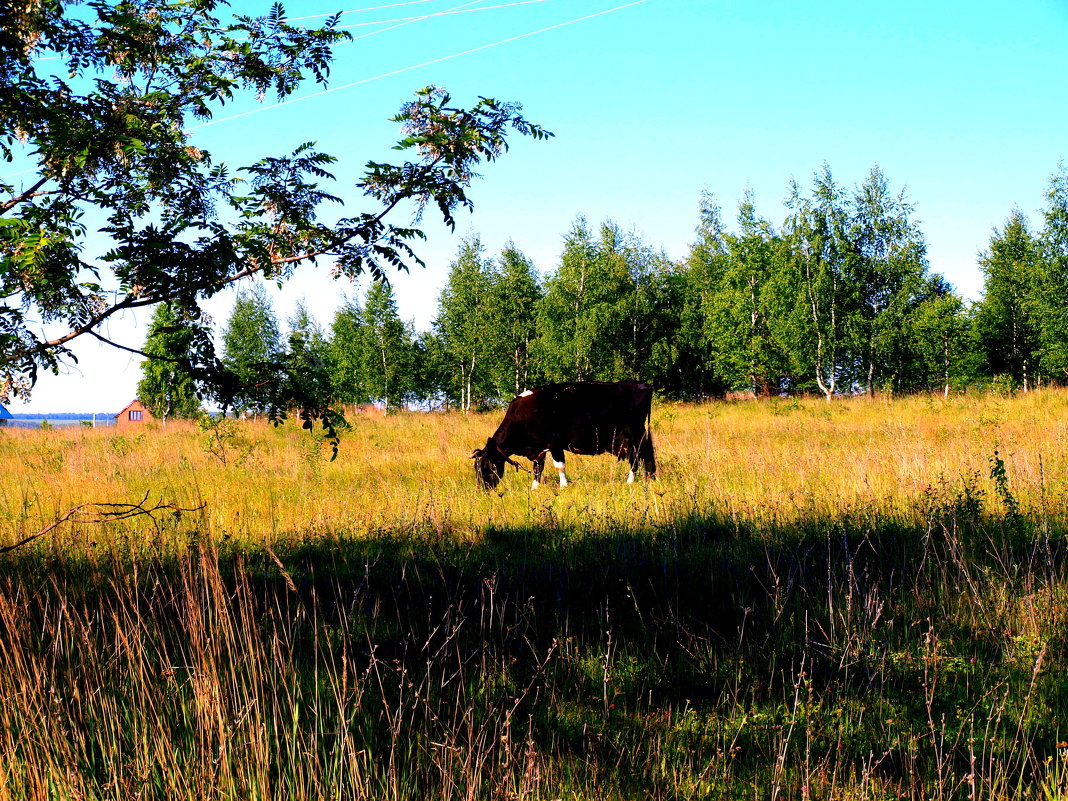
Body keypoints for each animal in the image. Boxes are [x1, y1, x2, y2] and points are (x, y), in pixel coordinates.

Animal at [469, 380, 653, 489]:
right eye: (476, 468)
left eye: (488, 466)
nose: (484, 488)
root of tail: (642, 384)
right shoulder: (538, 448)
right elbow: (538, 468)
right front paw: (534, 488)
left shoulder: (554, 443)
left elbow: (559, 466)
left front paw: (564, 486)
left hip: (634, 435)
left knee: (637, 457)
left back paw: (630, 481)